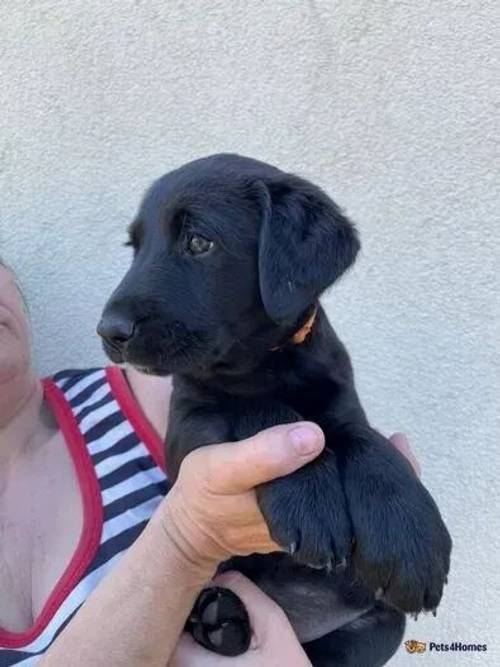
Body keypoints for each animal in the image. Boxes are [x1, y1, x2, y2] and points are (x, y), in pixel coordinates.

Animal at [98, 154, 454, 664]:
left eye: (199, 241)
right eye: (136, 248)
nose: (108, 331)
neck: (266, 362)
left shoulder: (341, 401)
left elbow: (367, 441)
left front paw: (410, 544)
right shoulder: (189, 426)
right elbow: (258, 408)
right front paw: (307, 498)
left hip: (374, 628)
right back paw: (218, 616)